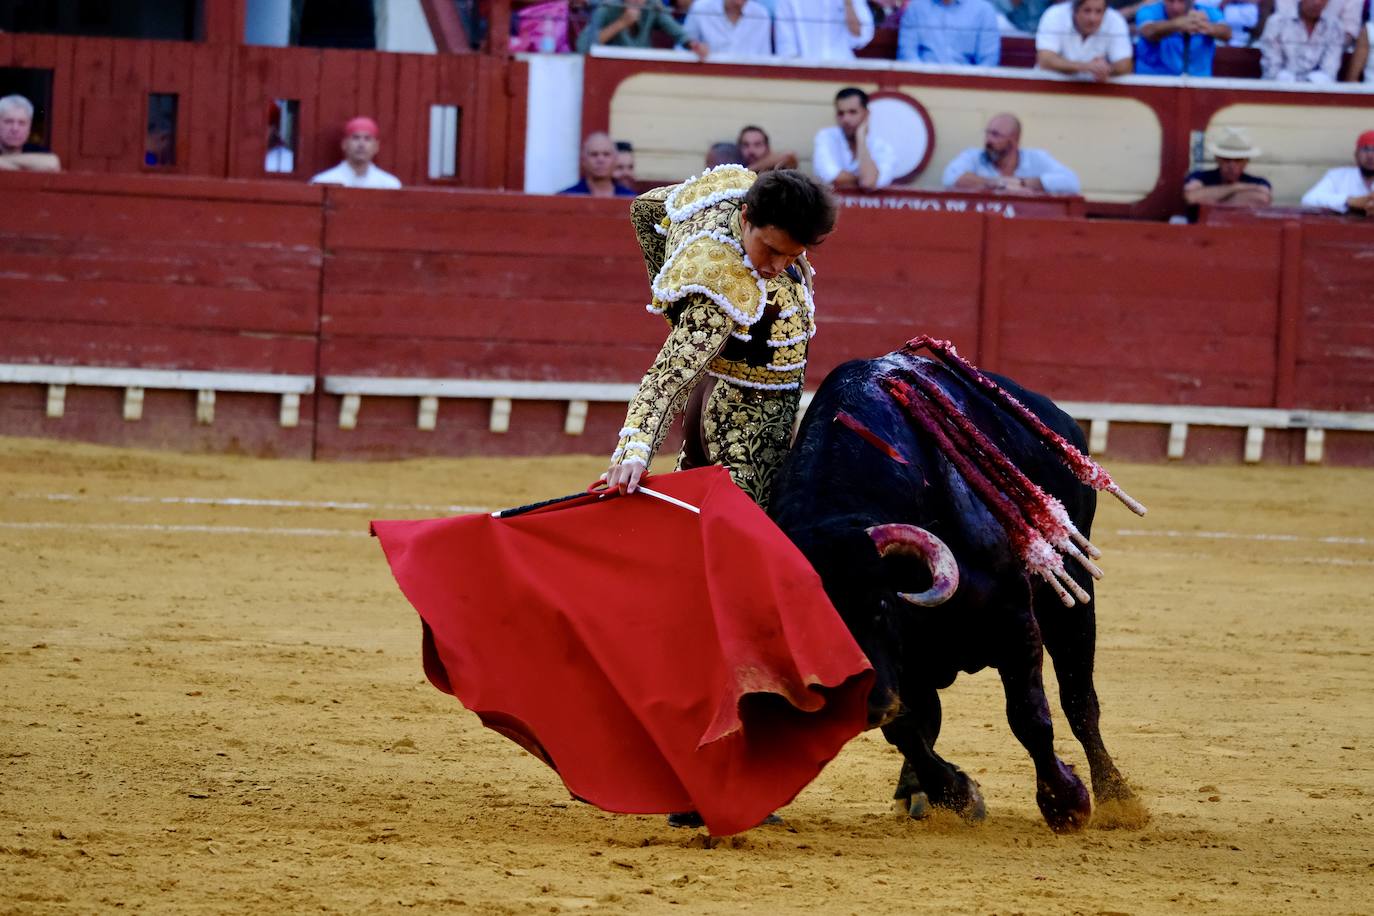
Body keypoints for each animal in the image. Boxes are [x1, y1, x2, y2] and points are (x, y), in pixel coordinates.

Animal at [774, 347, 1137, 834]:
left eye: (881, 606)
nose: (860, 702)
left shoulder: (1014, 618)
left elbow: (1029, 716)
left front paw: (1066, 803)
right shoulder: (907, 668)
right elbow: (907, 729)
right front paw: (958, 795)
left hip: (1071, 597)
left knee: (1080, 699)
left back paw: (1117, 798)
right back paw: (916, 793)